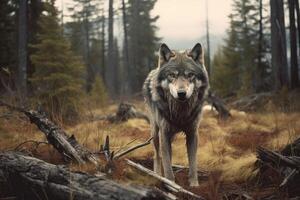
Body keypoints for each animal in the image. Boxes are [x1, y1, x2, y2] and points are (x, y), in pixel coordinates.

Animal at [142, 43, 209, 187]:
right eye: (172, 75)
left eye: (190, 75)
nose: (181, 93)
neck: (180, 112)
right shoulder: (164, 133)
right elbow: (167, 166)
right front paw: (170, 184)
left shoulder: (193, 134)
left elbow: (193, 163)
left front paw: (194, 185)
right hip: (156, 133)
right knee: (157, 155)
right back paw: (157, 174)